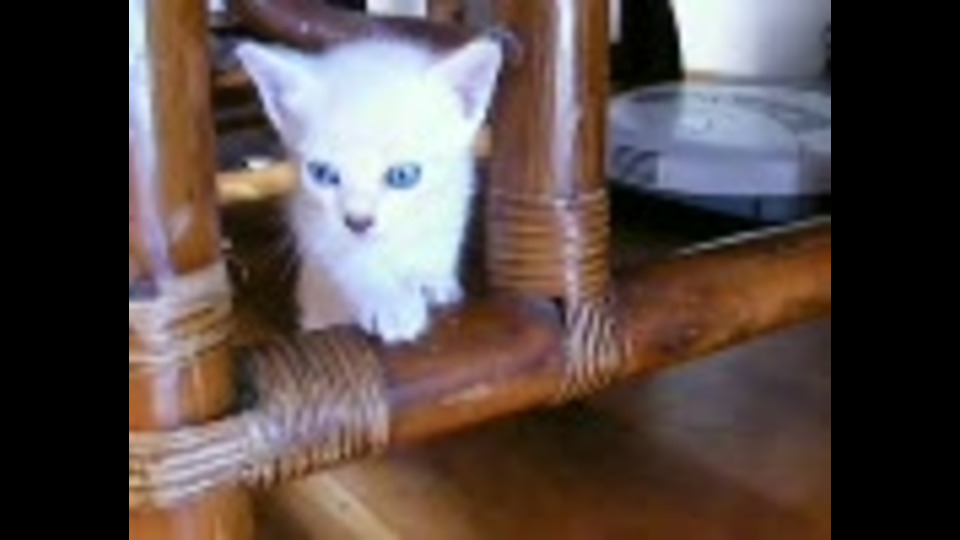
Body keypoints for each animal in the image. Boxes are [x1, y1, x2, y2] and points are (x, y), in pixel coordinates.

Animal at [237, 37, 503, 344]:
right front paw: (389, 300)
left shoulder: (452, 202)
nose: (358, 222)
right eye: (323, 174)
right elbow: (347, 263)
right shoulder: (311, 227)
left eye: (403, 176)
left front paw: (431, 280)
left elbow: (437, 246)